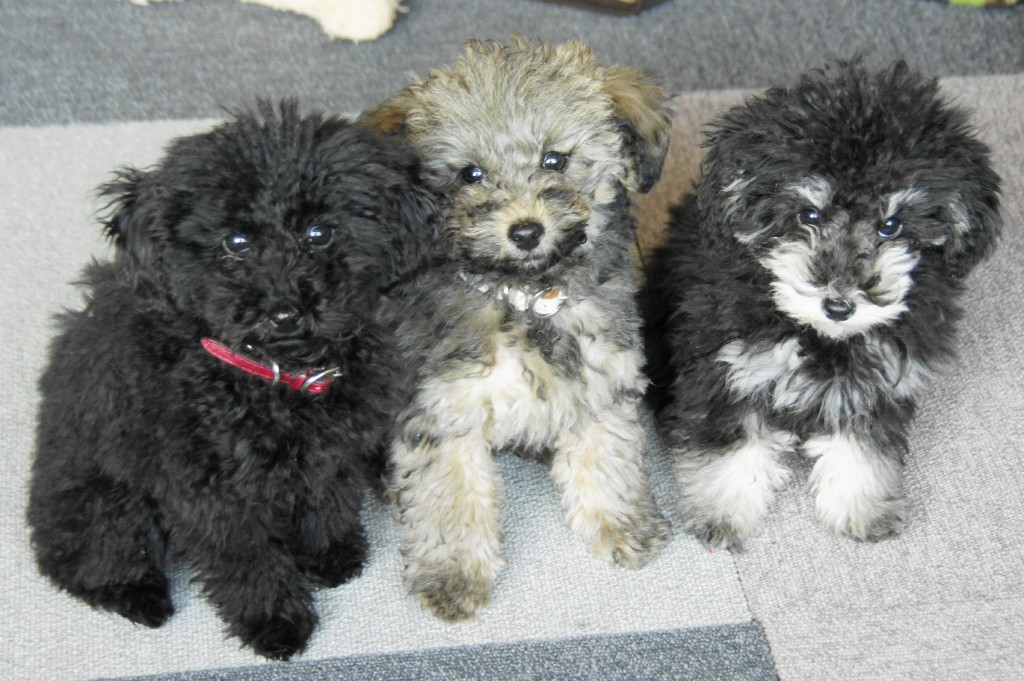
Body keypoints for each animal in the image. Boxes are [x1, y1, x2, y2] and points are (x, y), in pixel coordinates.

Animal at [27, 101, 438, 659]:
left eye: (319, 233)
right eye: (236, 242)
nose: (285, 312)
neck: (274, 378)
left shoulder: (331, 450)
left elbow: (326, 500)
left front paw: (329, 556)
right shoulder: (212, 495)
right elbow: (248, 564)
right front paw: (276, 624)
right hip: (109, 508)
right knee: (82, 565)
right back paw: (142, 599)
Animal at [361, 36, 673, 621]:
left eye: (555, 159)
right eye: (469, 174)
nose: (525, 231)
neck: (526, 298)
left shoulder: (600, 375)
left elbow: (608, 454)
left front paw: (620, 521)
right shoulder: (444, 408)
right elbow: (450, 496)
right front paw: (453, 572)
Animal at [643, 60, 1001, 550]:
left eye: (891, 225)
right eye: (808, 214)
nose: (839, 305)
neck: (821, 337)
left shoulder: (875, 381)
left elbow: (863, 446)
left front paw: (861, 506)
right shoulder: (728, 369)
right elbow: (731, 445)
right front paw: (720, 512)